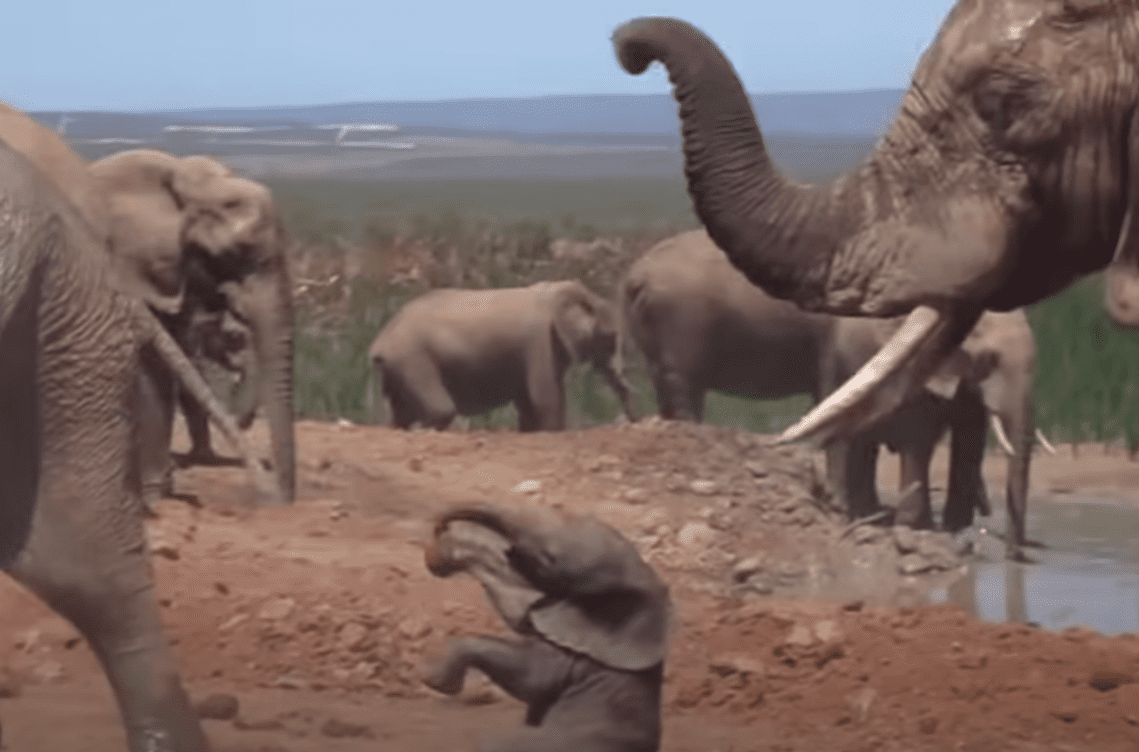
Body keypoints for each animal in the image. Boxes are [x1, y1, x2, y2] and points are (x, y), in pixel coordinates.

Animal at [369, 280, 638, 431]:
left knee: (401, 411)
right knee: (440, 409)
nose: (632, 421)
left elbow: (527, 401)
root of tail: (380, 340)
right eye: (610, 338)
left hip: (399, 365)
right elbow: (545, 398)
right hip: (412, 357)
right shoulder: (541, 341)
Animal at [620, 229, 1042, 558]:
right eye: (988, 358)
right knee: (684, 390)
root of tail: (633, 274)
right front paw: (900, 523)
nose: (1015, 553)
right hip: (680, 324)